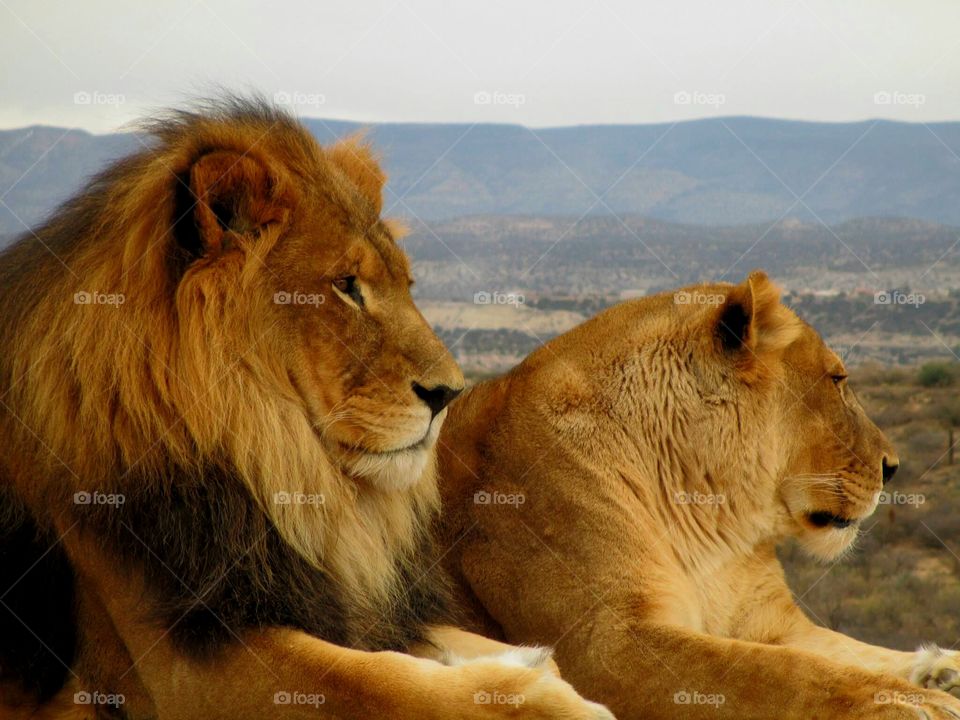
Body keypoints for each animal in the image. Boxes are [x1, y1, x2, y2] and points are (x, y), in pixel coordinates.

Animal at [0, 98, 613, 720]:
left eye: (407, 283)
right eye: (346, 285)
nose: (449, 393)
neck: (278, 461)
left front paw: (532, 664)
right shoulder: (178, 669)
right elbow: (374, 680)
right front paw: (550, 701)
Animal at [437, 271, 960, 719]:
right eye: (837, 380)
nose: (892, 467)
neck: (711, 519)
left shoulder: (772, 623)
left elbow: (850, 653)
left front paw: (941, 670)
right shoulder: (604, 645)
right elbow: (789, 672)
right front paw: (917, 702)